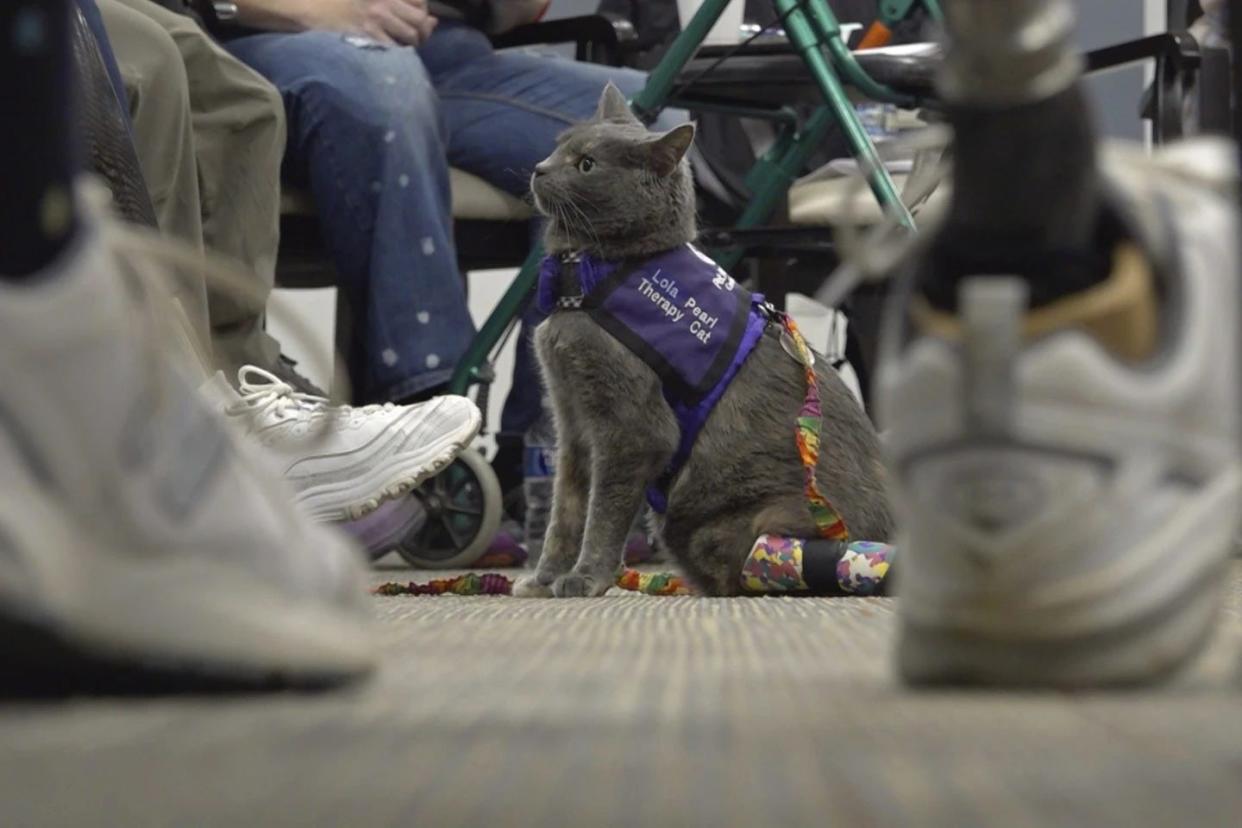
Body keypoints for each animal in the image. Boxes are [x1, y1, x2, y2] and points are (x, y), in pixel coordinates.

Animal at [514, 85, 894, 603]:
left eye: (587, 164)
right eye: (559, 146)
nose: (539, 167)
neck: (589, 278)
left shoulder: (631, 430)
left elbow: (603, 512)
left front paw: (586, 577)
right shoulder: (571, 418)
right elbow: (566, 509)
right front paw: (544, 578)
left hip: (751, 522)